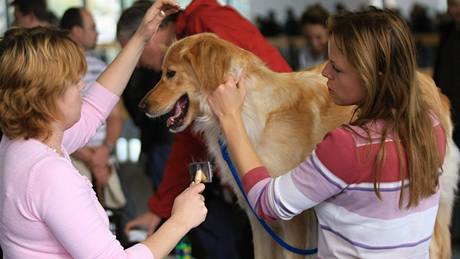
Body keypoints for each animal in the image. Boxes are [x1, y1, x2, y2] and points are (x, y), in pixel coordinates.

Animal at [141, 33, 460, 258]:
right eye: (162, 72)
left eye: (170, 73)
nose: (142, 105)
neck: (245, 108)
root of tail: (429, 82)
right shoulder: (259, 219)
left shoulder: (292, 217)